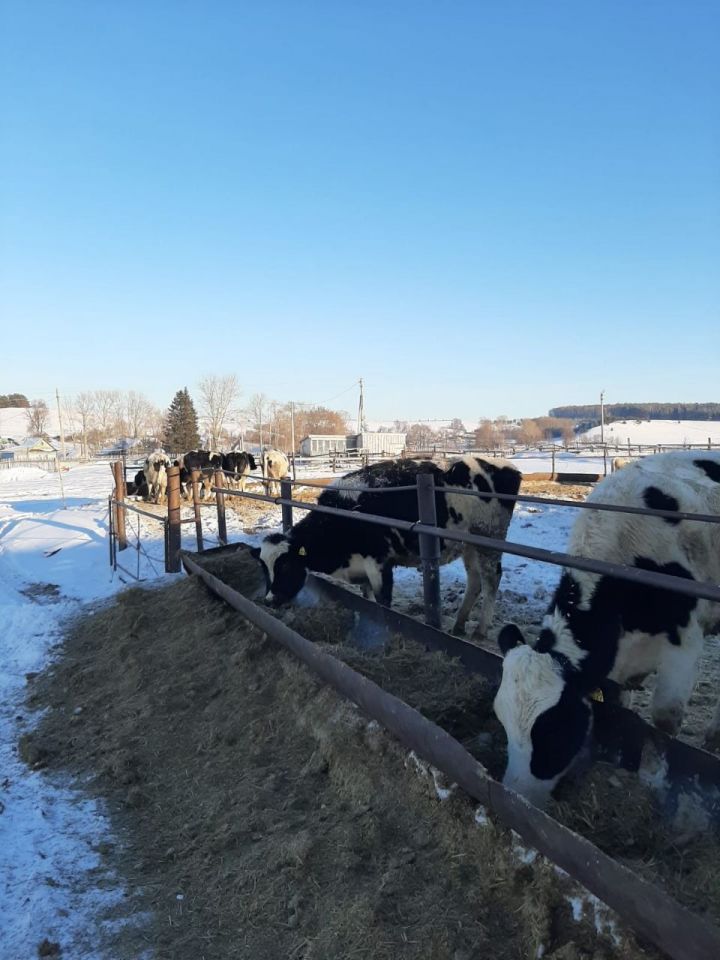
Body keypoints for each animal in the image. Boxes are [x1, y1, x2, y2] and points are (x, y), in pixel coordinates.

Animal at [253, 456, 524, 636]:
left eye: (286, 567)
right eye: (264, 569)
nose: (268, 600)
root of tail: (503, 465)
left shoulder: (379, 563)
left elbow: (384, 602)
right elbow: (368, 598)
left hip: (490, 538)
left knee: (491, 579)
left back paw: (480, 629)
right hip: (469, 544)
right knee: (475, 580)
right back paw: (459, 625)